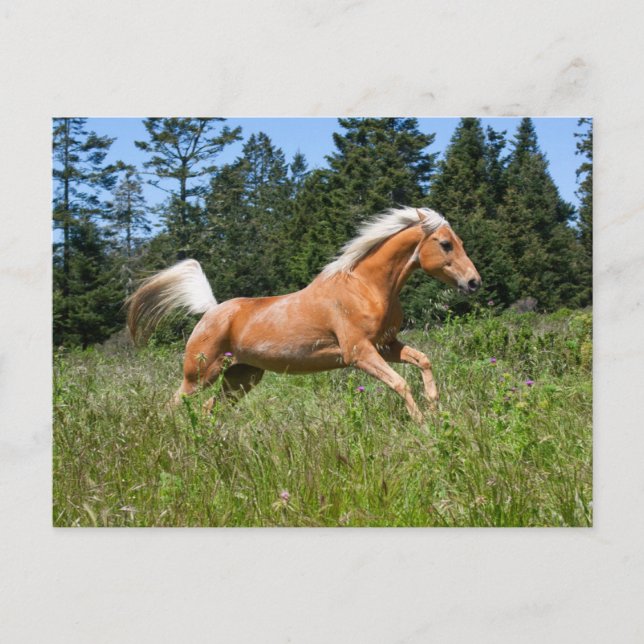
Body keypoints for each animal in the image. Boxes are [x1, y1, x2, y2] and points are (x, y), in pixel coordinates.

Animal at [126, 207, 481, 423]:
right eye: (446, 244)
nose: (474, 282)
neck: (366, 287)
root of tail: (211, 310)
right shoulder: (360, 353)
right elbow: (401, 384)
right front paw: (422, 425)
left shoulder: (386, 346)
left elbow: (423, 362)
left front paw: (435, 409)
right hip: (200, 375)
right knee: (175, 405)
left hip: (241, 378)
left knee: (208, 408)